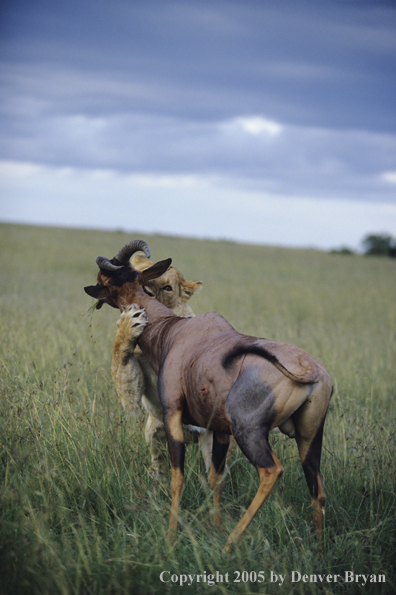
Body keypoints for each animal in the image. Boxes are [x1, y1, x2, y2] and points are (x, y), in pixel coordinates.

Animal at [85, 240, 332, 552]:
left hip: (249, 432)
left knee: (271, 471)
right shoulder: (219, 429)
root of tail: (312, 371)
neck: (175, 330)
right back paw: (320, 550)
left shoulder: (173, 414)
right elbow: (216, 477)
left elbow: (176, 479)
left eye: (104, 280)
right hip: (310, 436)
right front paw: (215, 527)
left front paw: (171, 540)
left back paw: (229, 545)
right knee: (318, 490)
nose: (92, 296)